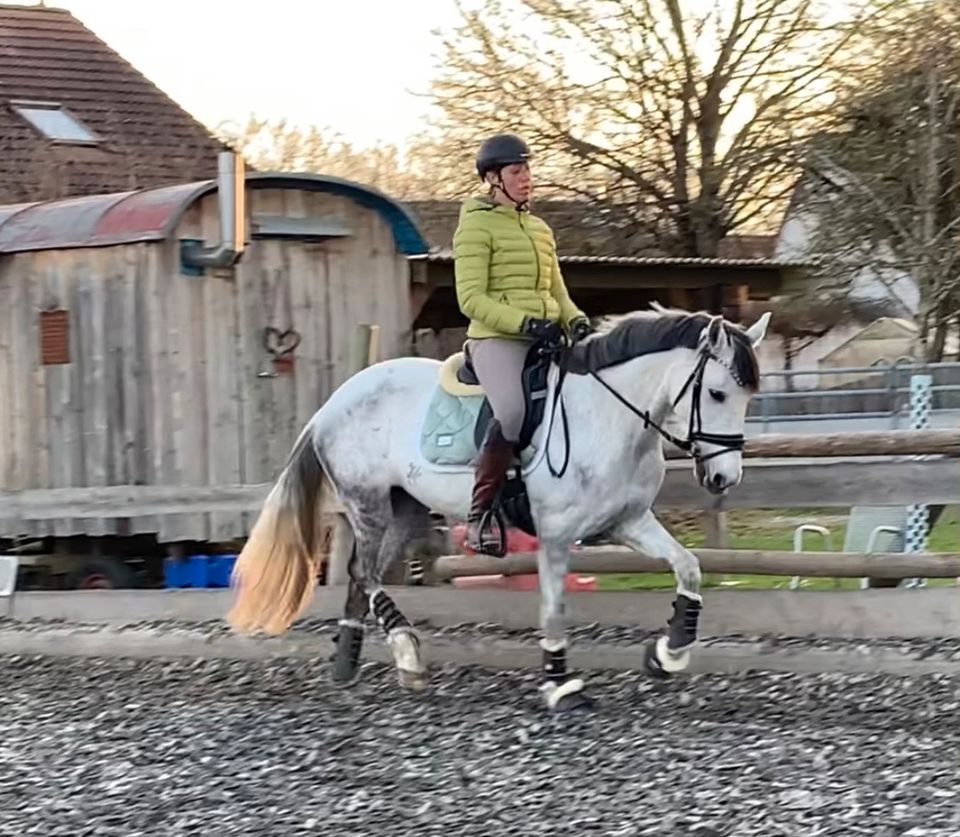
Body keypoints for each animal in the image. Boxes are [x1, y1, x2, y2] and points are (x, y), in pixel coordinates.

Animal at [227, 304, 772, 708]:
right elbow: (553, 609)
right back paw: (403, 655)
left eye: (747, 396)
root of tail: (335, 401)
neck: (608, 416)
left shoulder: (629, 522)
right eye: (717, 393)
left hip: (405, 511)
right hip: (369, 504)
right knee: (364, 573)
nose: (724, 478)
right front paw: (561, 685)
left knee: (365, 576)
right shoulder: (556, 535)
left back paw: (356, 663)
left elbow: (689, 567)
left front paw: (669, 652)